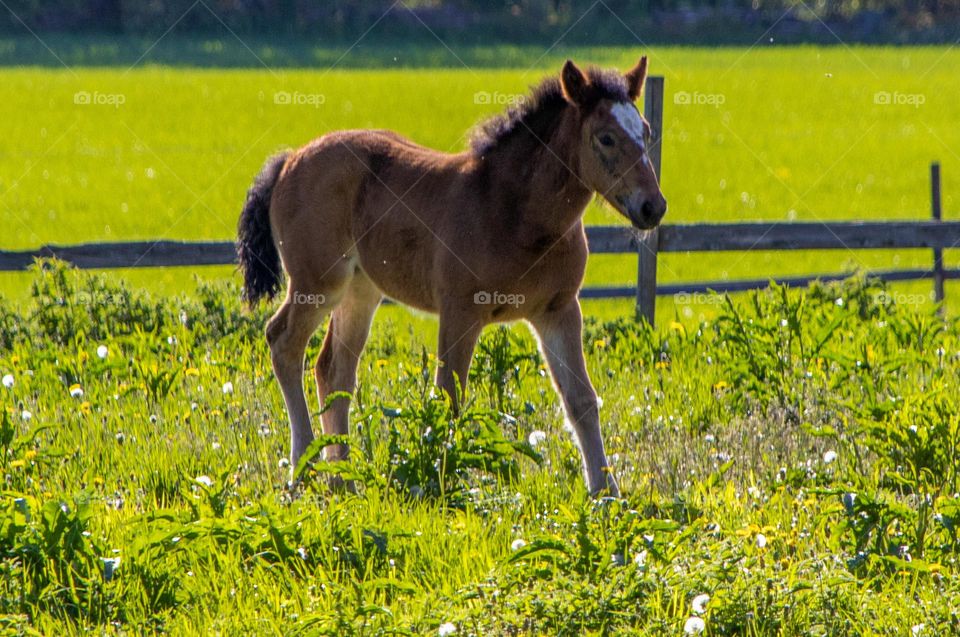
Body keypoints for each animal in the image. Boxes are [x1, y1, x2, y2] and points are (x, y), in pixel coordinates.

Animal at [237, 57, 667, 496]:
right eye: (606, 138)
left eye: (646, 131)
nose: (653, 206)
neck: (515, 211)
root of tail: (290, 159)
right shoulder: (461, 310)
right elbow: (449, 396)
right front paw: (439, 481)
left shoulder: (558, 310)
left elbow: (581, 398)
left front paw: (606, 492)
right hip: (318, 283)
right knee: (284, 342)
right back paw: (302, 469)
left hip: (361, 291)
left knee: (333, 369)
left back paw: (344, 479)